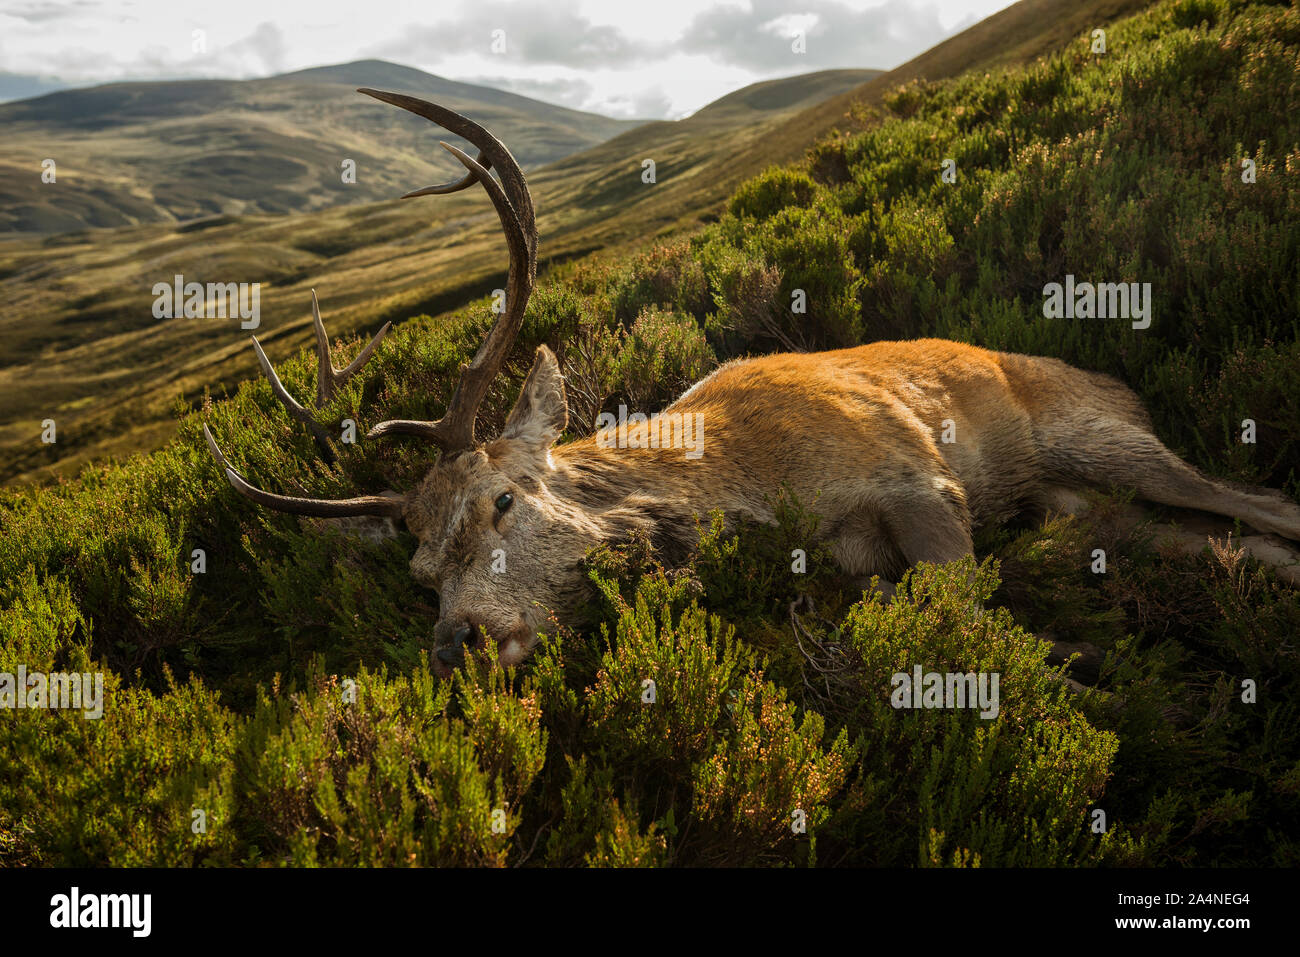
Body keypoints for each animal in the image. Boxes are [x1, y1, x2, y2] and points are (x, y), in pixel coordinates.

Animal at [200, 89, 1300, 670]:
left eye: (503, 498)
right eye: (421, 571)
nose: (459, 640)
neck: (740, 490)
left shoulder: (920, 481)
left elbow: (971, 623)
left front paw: (1072, 681)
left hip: (1108, 439)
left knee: (1261, 501)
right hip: (1087, 507)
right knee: (1228, 540)